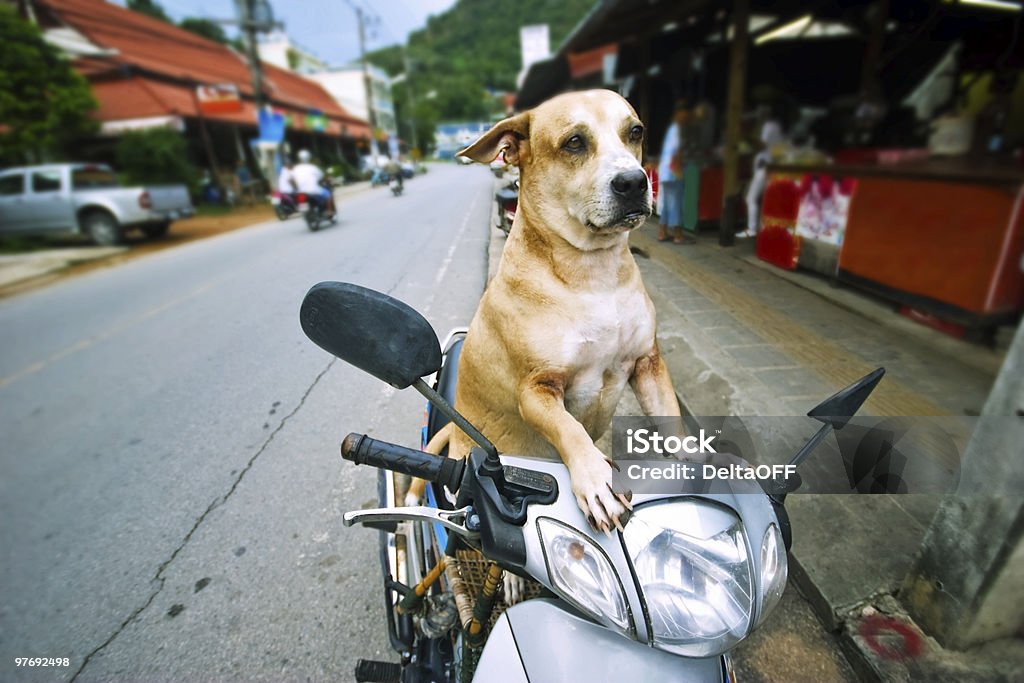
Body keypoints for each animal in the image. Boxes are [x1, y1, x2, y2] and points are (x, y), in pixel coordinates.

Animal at [407, 92, 679, 540]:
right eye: (574, 142)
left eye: (635, 131)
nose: (634, 182)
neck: (592, 274)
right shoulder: (537, 390)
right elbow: (569, 429)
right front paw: (596, 479)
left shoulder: (647, 364)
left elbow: (674, 426)